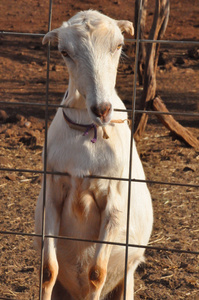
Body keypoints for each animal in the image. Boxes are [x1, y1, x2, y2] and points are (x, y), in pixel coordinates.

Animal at [35, 9, 153, 300]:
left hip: (127, 280)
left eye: (119, 45)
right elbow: (48, 270)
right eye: (64, 52)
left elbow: (96, 273)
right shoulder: (52, 190)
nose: (101, 109)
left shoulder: (115, 200)